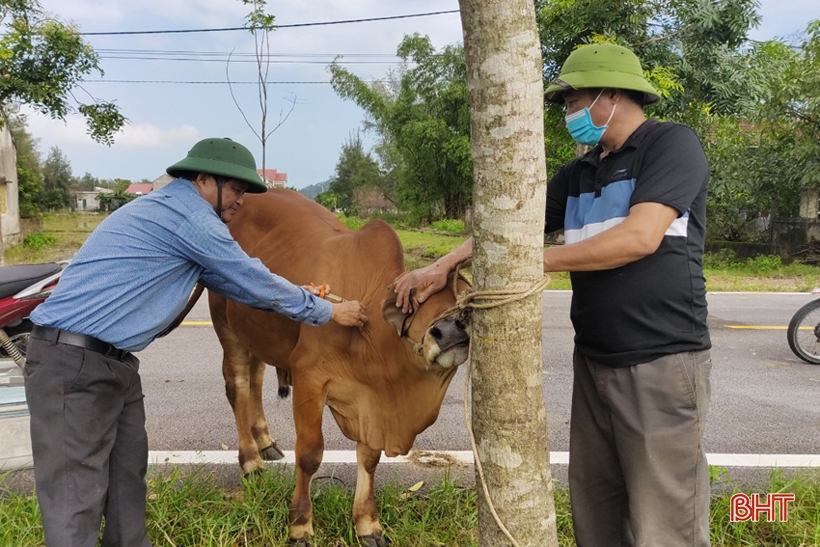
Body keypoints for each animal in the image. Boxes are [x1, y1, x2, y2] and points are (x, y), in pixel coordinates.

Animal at [208, 189, 470, 547]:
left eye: (469, 307)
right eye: (414, 301)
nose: (450, 331)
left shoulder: (372, 404)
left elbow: (369, 459)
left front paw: (367, 524)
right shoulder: (309, 379)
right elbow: (309, 454)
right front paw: (300, 526)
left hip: (257, 333)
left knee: (255, 380)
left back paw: (265, 441)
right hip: (226, 325)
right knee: (237, 385)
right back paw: (251, 461)